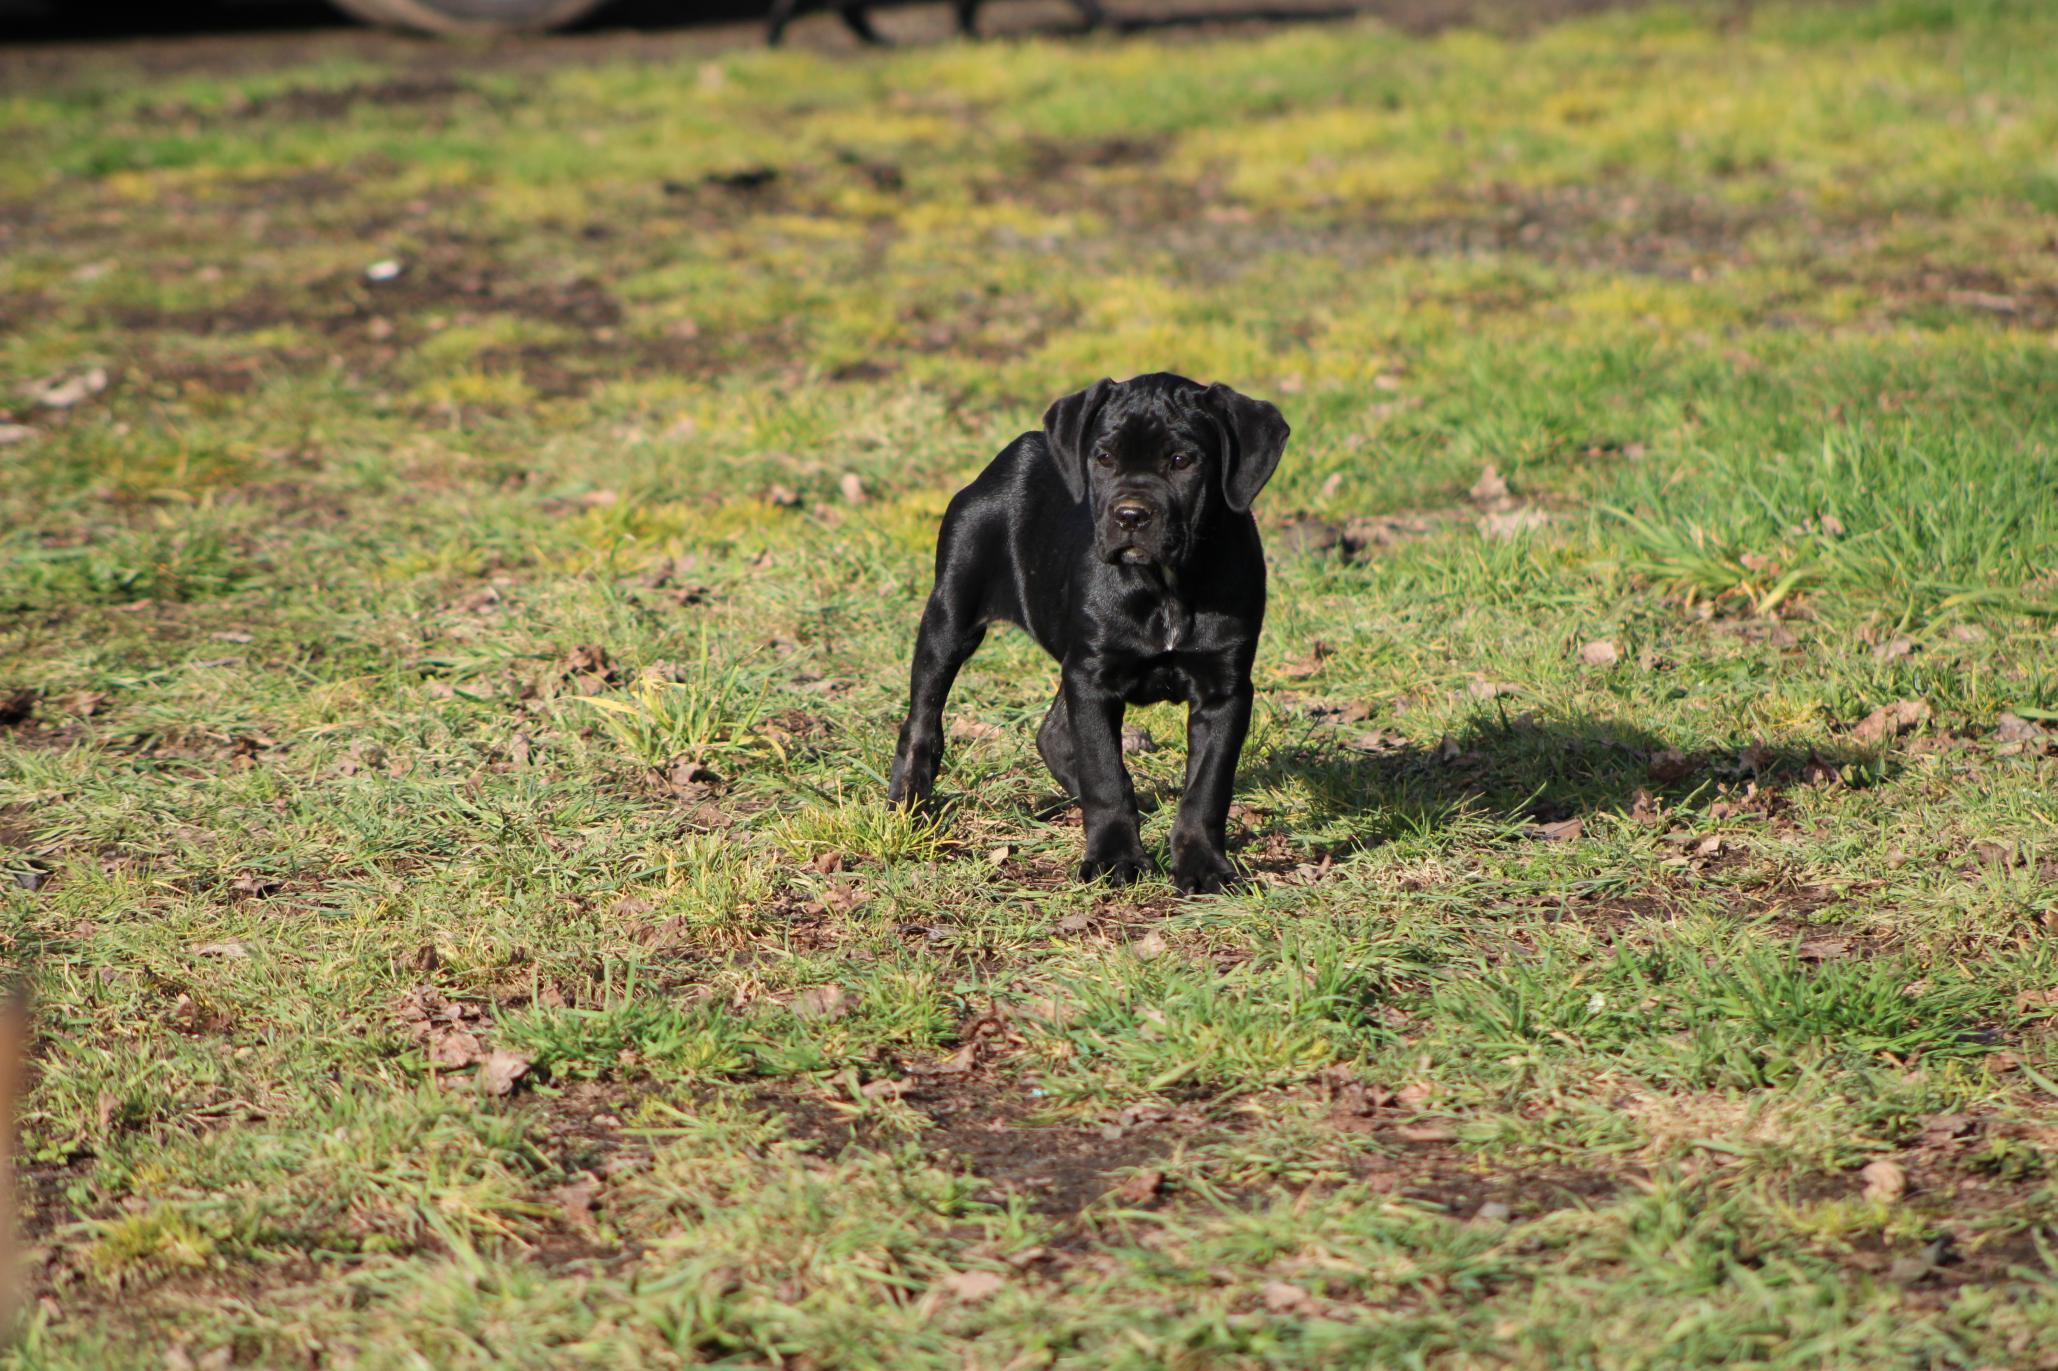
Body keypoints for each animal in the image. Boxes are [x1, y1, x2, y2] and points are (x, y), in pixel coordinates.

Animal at [884, 368, 1284, 893]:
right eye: (1104, 457)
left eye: (1181, 461)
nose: (1130, 515)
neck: (1164, 586)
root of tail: (1016, 452)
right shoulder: (1094, 676)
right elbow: (1103, 772)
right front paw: (1115, 858)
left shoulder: (1225, 688)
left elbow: (1207, 787)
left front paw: (1202, 864)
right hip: (951, 615)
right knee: (923, 718)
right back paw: (906, 807)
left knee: (1053, 734)